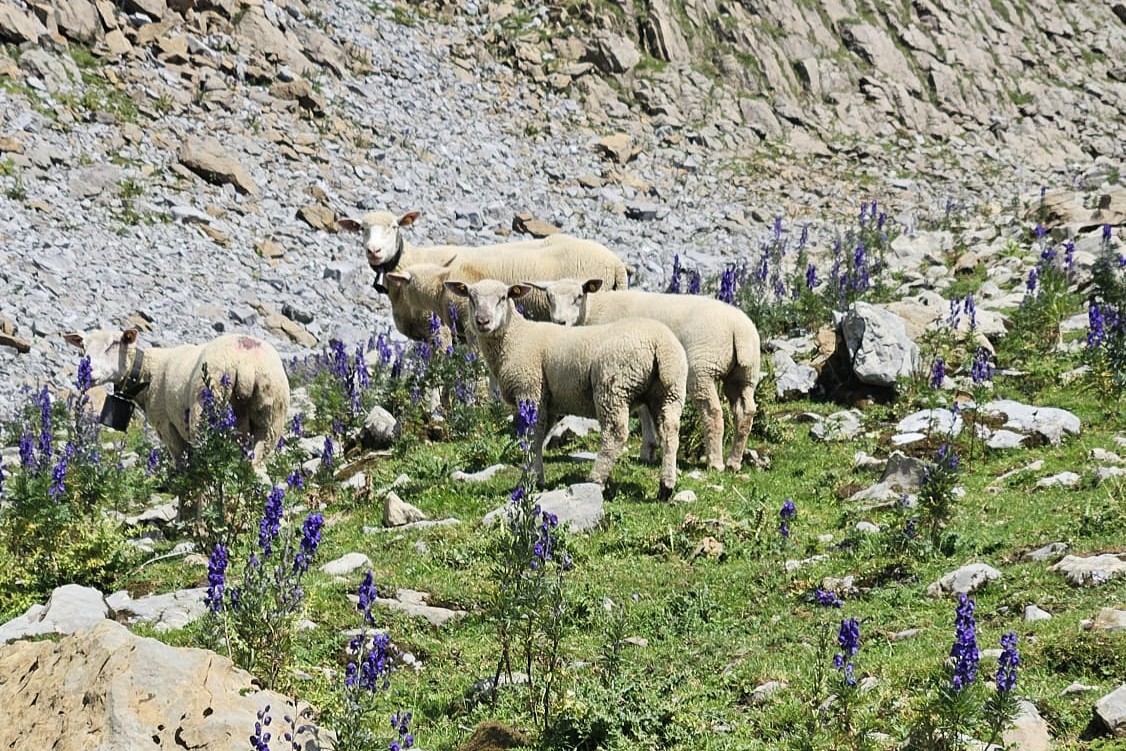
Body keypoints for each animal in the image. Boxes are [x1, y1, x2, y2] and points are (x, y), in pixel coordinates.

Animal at [63, 329, 290, 465]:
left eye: (113, 344)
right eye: (83, 347)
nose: (86, 372)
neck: (147, 371)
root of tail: (246, 363)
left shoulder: (166, 424)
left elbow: (181, 463)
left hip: (204, 413)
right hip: (270, 420)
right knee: (253, 464)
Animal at [443, 278, 687, 500]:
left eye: (503, 297)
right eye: (470, 297)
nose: (482, 321)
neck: (515, 338)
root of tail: (660, 343)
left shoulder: (530, 391)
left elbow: (532, 438)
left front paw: (529, 481)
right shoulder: (547, 401)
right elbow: (539, 439)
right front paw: (535, 477)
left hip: (612, 387)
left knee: (615, 433)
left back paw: (595, 480)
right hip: (669, 391)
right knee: (670, 431)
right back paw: (666, 487)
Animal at [529, 279, 762, 472]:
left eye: (578, 296)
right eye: (549, 297)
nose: (559, 322)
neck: (592, 310)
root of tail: (739, 329)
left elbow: (642, 411)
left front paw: (647, 449)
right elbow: (646, 410)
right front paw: (650, 449)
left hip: (703, 368)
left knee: (712, 412)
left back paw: (715, 462)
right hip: (744, 374)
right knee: (746, 411)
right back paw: (733, 462)